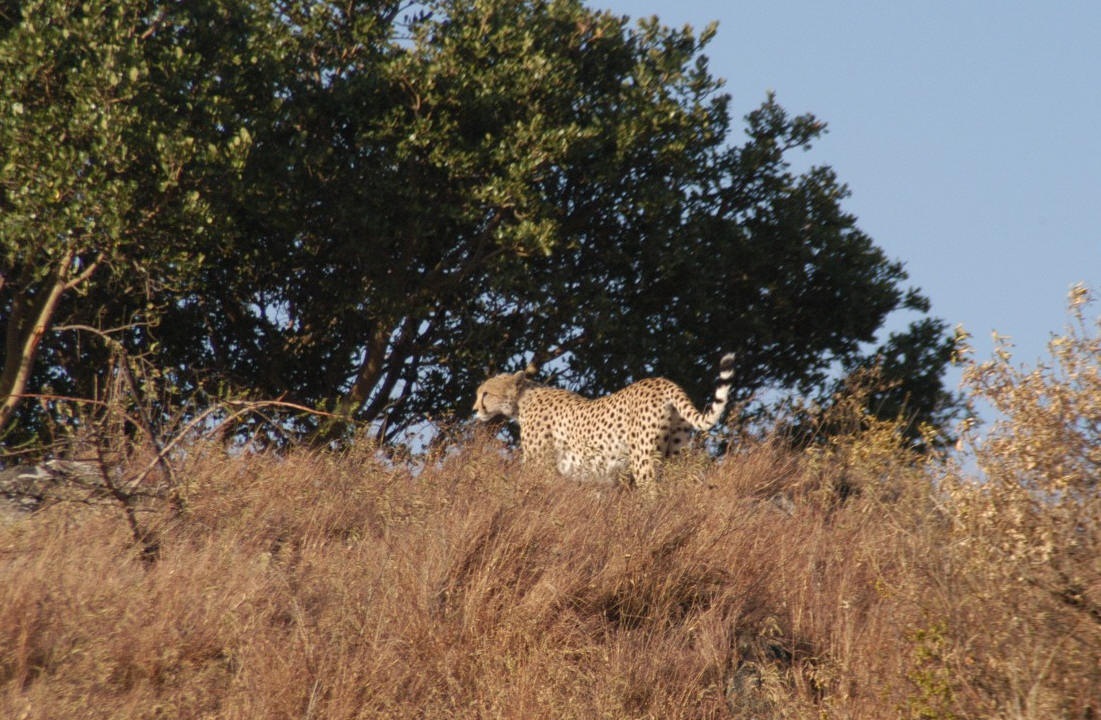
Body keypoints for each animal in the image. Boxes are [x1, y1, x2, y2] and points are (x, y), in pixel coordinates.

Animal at [471, 354, 735, 491]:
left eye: (485, 394)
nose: (474, 409)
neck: (523, 399)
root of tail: (661, 381)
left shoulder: (540, 466)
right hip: (676, 453)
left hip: (643, 458)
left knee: (652, 493)